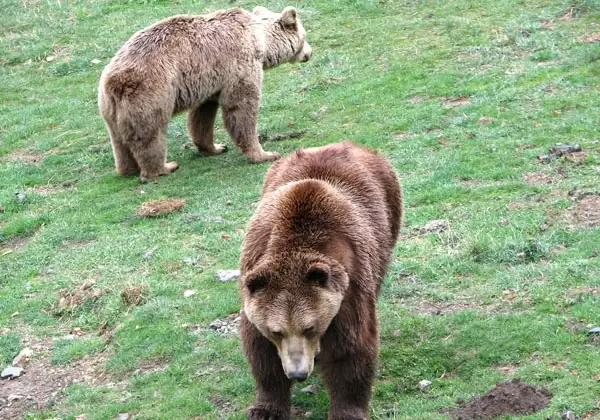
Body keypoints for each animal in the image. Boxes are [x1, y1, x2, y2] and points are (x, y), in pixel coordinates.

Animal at [97, 4, 314, 182]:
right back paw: (163, 167)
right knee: (150, 134)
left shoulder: (210, 81)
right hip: (151, 92)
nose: (309, 53)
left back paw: (128, 169)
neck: (259, 41)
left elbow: (203, 115)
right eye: (304, 36)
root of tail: (113, 82)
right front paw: (265, 153)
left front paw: (215, 147)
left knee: (119, 141)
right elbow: (241, 107)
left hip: (109, 109)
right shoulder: (240, 65)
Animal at [239, 142, 404, 420]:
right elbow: (261, 351)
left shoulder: (349, 284)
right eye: (276, 331)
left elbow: (350, 348)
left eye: (309, 327)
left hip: (387, 217)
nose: (297, 373)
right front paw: (266, 409)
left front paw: (347, 411)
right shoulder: (256, 276)